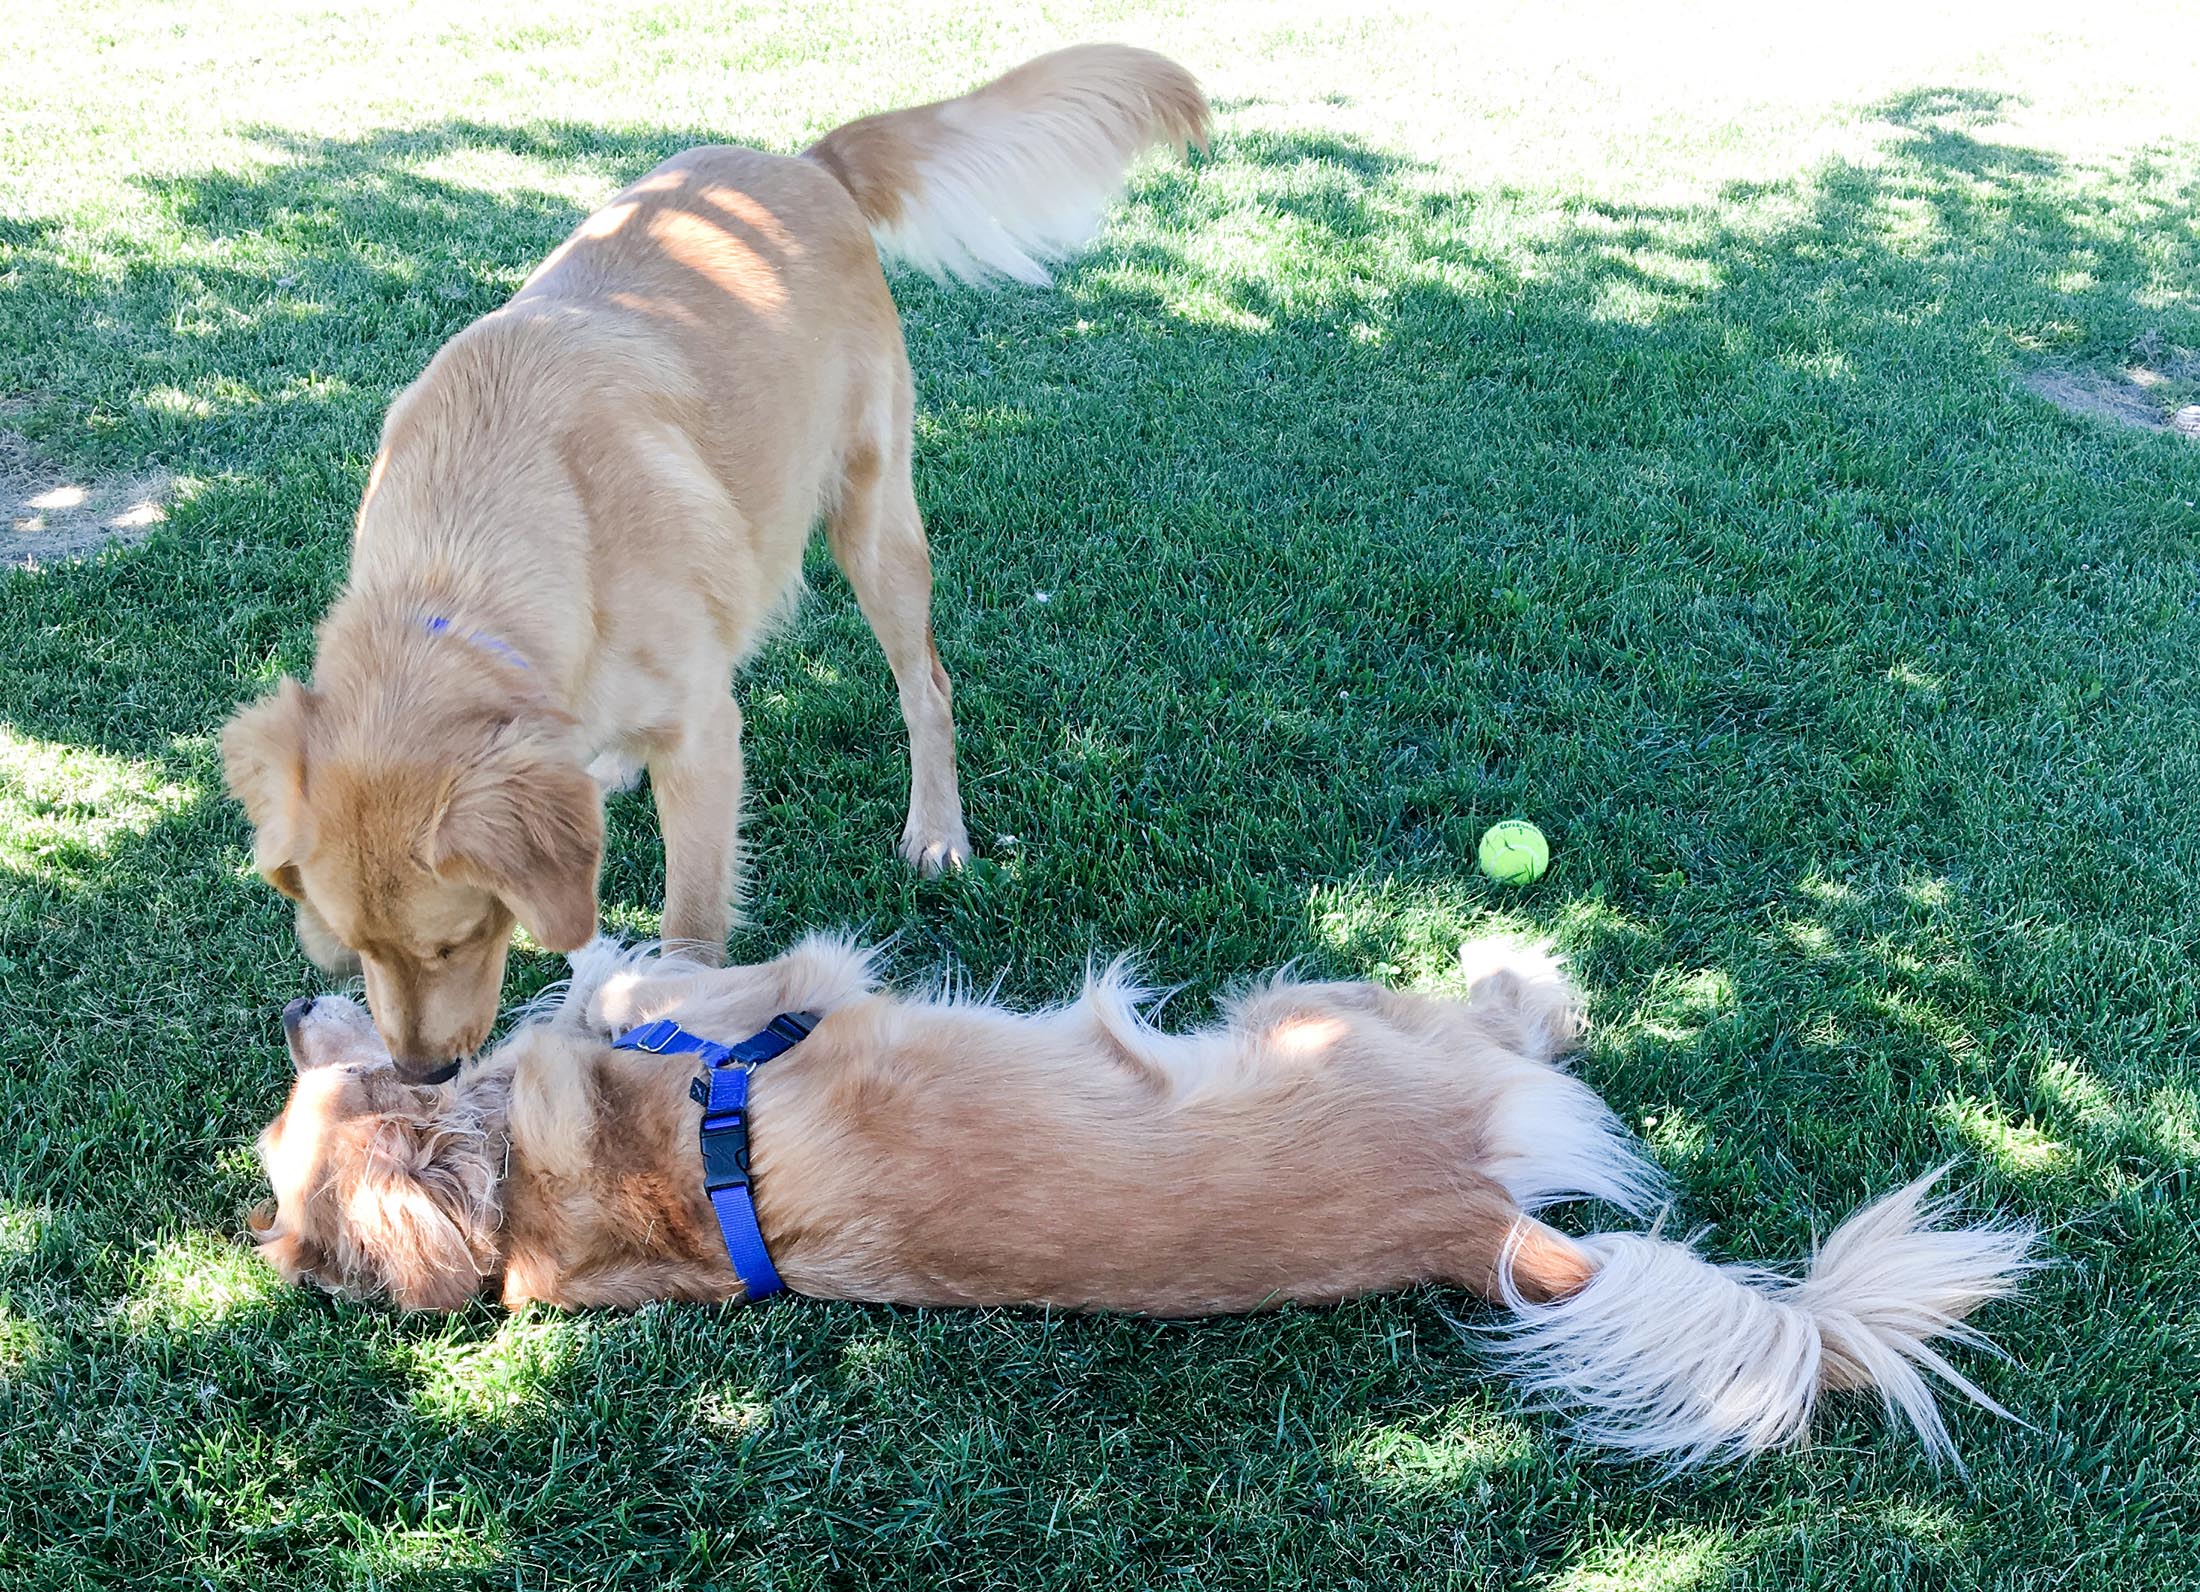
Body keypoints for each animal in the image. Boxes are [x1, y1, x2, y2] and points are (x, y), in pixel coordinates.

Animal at [220, 46, 1212, 1082]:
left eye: (458, 940)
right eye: (353, 947)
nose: (424, 1074)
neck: (459, 572)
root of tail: (806, 163)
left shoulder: (704, 740)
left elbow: (690, 922)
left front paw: (666, 1019)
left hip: (873, 519)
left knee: (926, 687)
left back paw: (937, 829)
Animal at [249, 935, 2036, 1468]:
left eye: (308, 1092)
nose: (293, 1004)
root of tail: (1477, 1223)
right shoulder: (788, 982)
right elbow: (640, 979)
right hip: (1335, 1008)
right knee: (1524, 1022)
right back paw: (1523, 964)